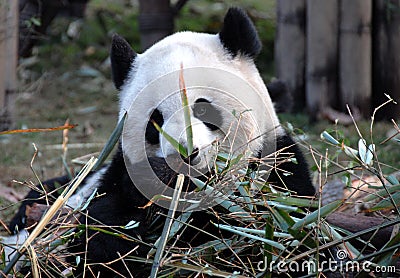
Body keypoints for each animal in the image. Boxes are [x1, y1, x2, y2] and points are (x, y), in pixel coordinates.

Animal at [3, 7, 316, 276]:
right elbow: (100, 233)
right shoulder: (117, 178)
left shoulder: (275, 168)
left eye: (203, 109)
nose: (185, 155)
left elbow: (265, 231)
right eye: (155, 122)